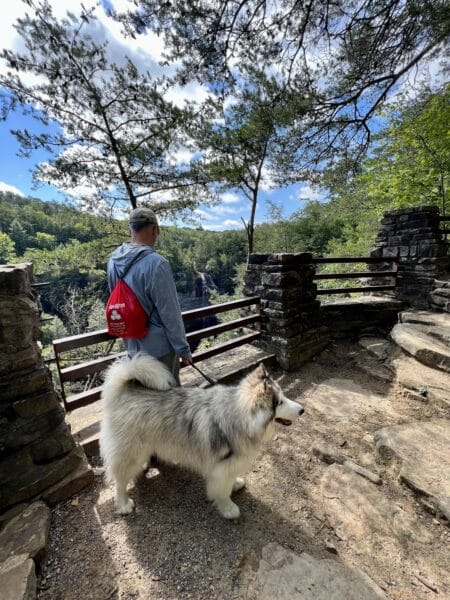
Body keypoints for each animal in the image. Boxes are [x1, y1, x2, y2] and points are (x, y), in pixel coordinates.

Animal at [100, 354, 304, 516]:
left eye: (283, 397)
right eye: (280, 402)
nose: (302, 410)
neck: (238, 415)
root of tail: (125, 390)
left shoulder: (228, 466)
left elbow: (230, 481)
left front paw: (235, 484)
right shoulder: (221, 468)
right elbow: (222, 492)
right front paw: (228, 509)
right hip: (129, 454)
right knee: (119, 481)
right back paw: (123, 504)